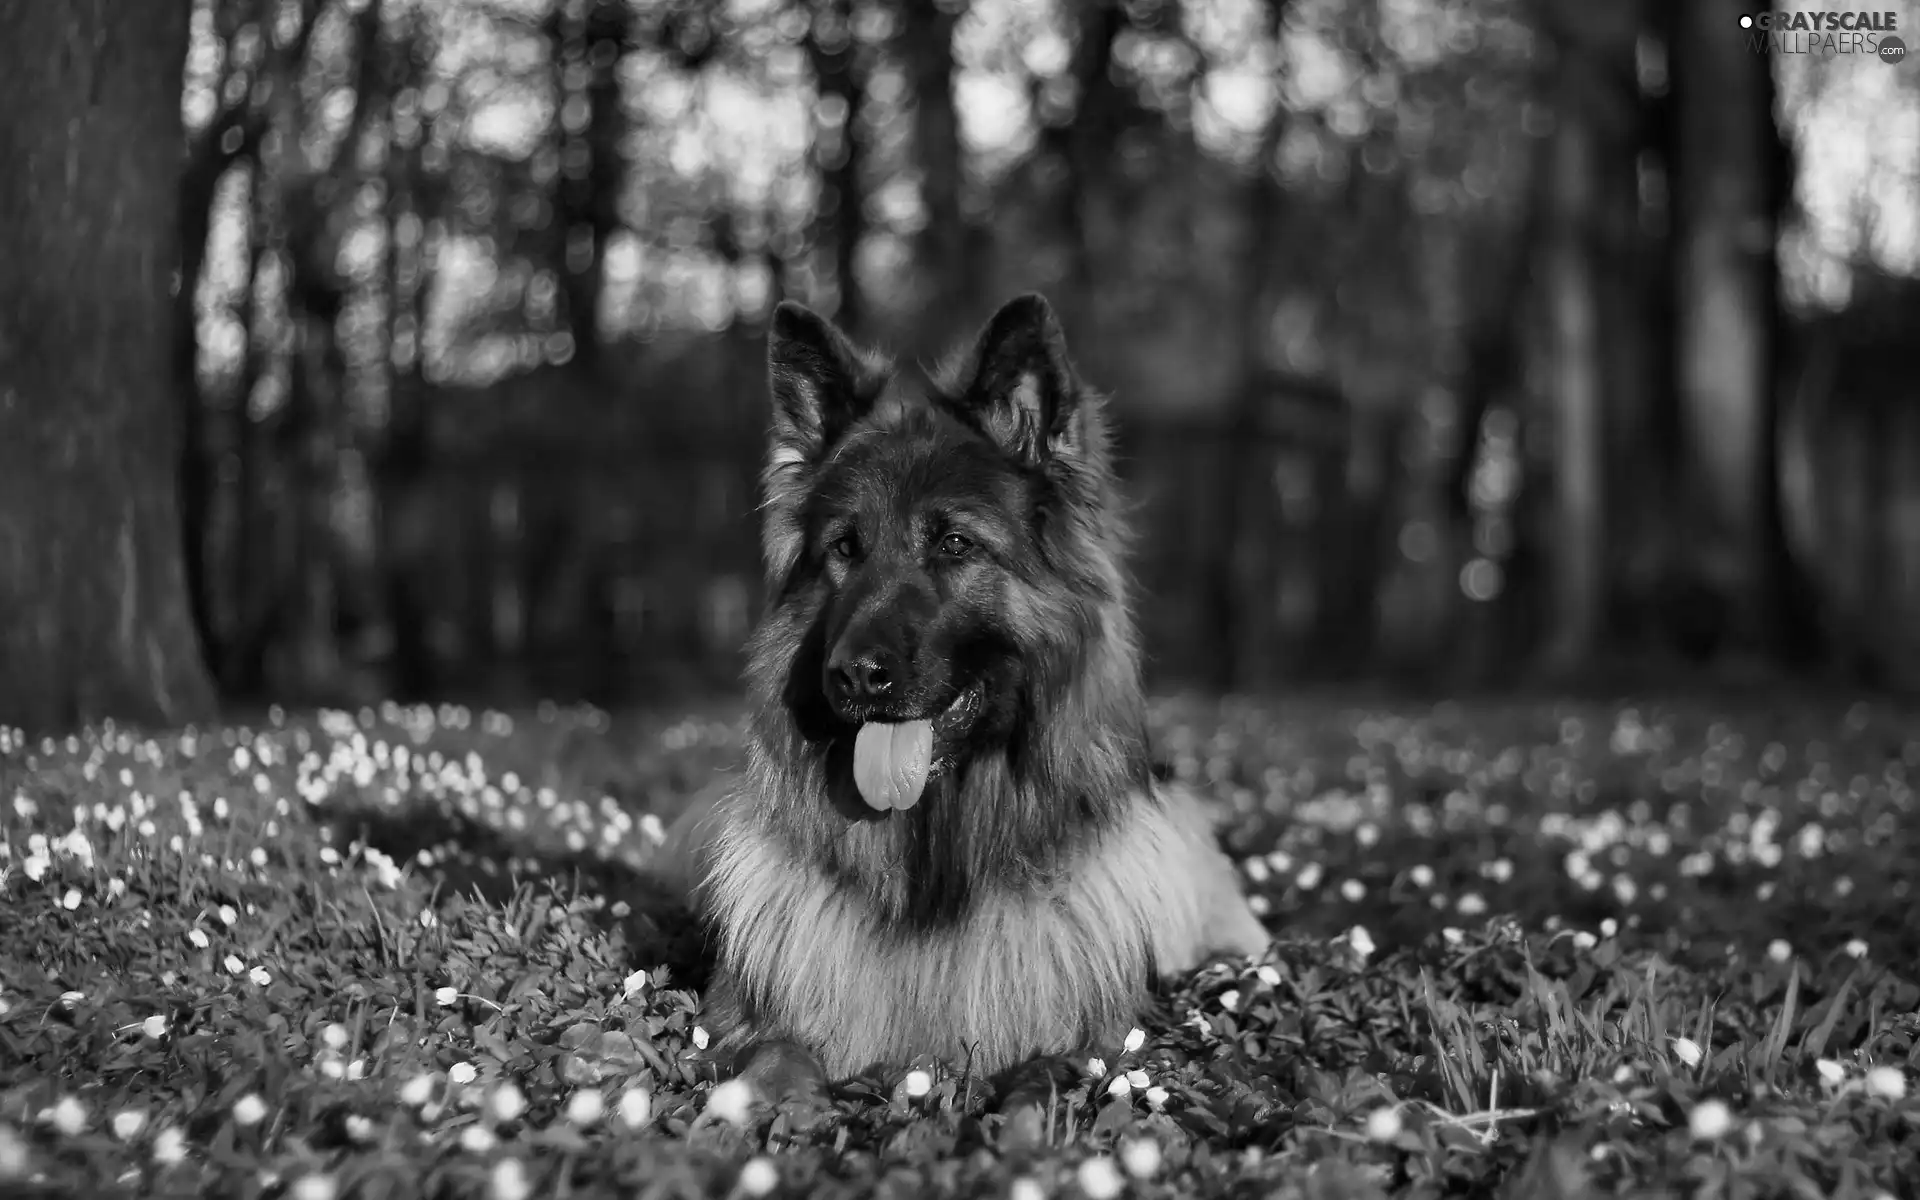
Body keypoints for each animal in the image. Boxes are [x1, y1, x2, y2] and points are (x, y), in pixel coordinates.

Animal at [664, 291, 1274, 1105]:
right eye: (845, 548)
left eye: (954, 544)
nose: (854, 677)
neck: (937, 852)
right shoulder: (749, 1016)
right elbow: (775, 1057)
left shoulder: (1097, 1043)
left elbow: (1038, 1082)